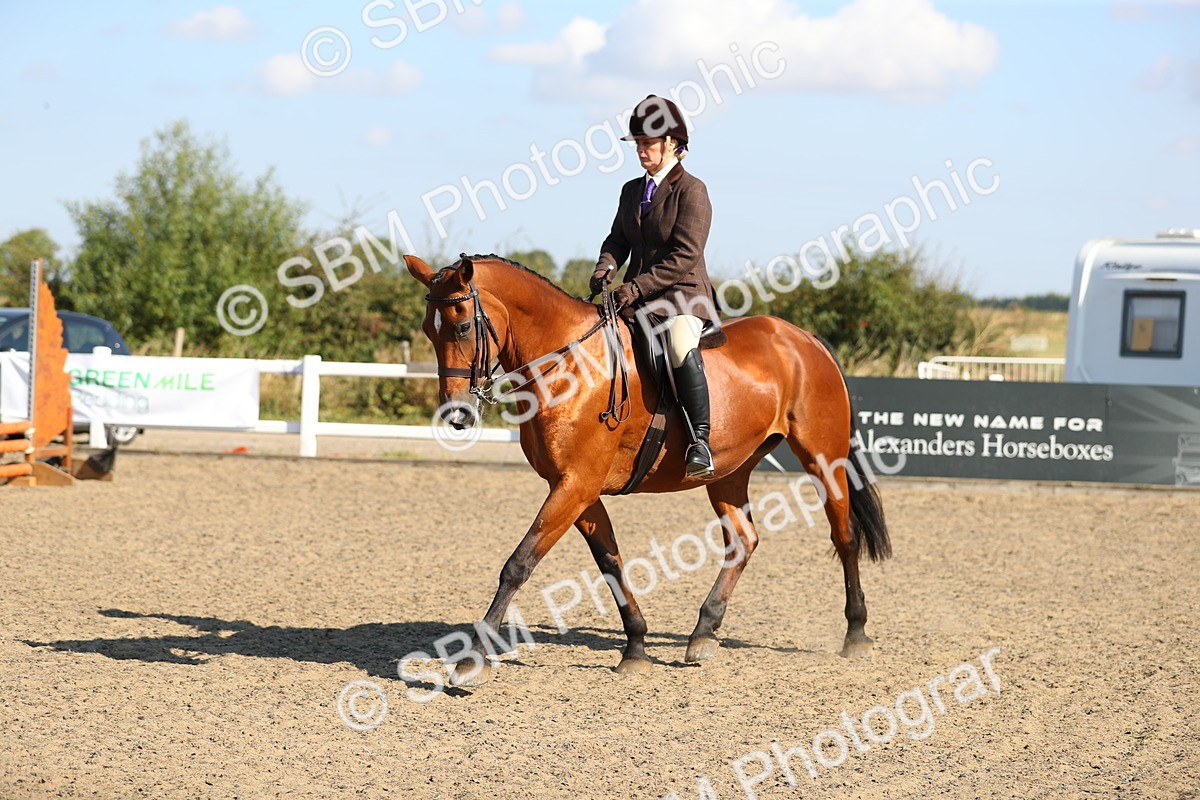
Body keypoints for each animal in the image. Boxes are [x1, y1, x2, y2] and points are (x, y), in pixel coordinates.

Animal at [405, 253, 891, 686]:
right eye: (429, 331)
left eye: (462, 326)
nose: (456, 415)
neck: (568, 365)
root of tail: (804, 338)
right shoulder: (577, 489)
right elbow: (610, 563)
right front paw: (636, 648)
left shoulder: (575, 486)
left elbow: (518, 564)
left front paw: (473, 660)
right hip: (729, 472)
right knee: (743, 541)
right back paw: (703, 633)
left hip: (822, 458)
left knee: (845, 536)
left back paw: (856, 632)